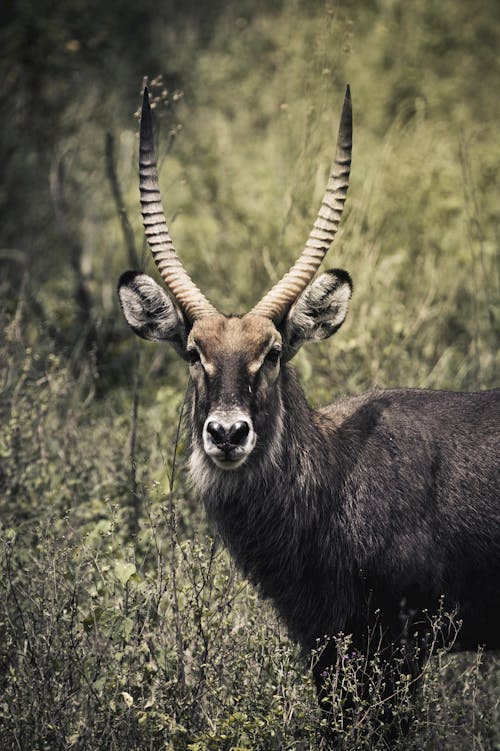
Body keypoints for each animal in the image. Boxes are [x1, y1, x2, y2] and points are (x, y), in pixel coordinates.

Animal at [119, 86, 500, 736]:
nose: (227, 434)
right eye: (194, 352)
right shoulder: (323, 644)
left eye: (271, 352)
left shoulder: (400, 647)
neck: (334, 477)